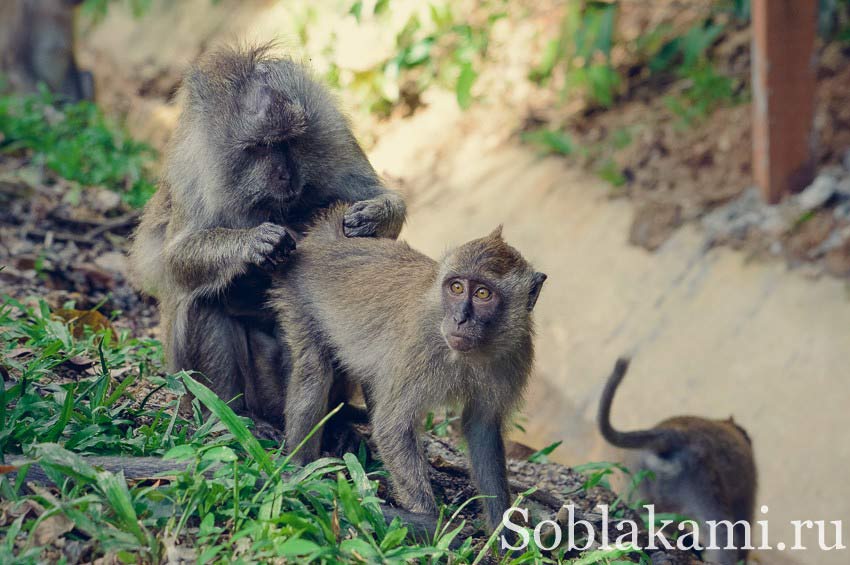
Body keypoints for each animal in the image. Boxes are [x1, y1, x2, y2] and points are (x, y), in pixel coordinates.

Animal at [131, 44, 406, 438]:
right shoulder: (194, 172)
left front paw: (374, 215)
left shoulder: (334, 140)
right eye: (260, 147)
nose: (285, 175)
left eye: (289, 141)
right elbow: (176, 261)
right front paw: (254, 242)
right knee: (204, 300)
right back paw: (232, 418)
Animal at [274, 205, 548, 532]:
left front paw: (501, 531)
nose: (459, 319)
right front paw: (430, 523)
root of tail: (330, 242)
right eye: (456, 287)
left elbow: (482, 428)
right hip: (298, 293)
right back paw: (300, 468)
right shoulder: (419, 347)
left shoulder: (514, 355)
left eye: (483, 293)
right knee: (314, 368)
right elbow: (392, 426)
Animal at [596, 356, 756, 564]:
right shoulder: (745, 493)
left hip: (640, 481)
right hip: (704, 482)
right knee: (722, 535)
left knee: (651, 516)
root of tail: (672, 437)